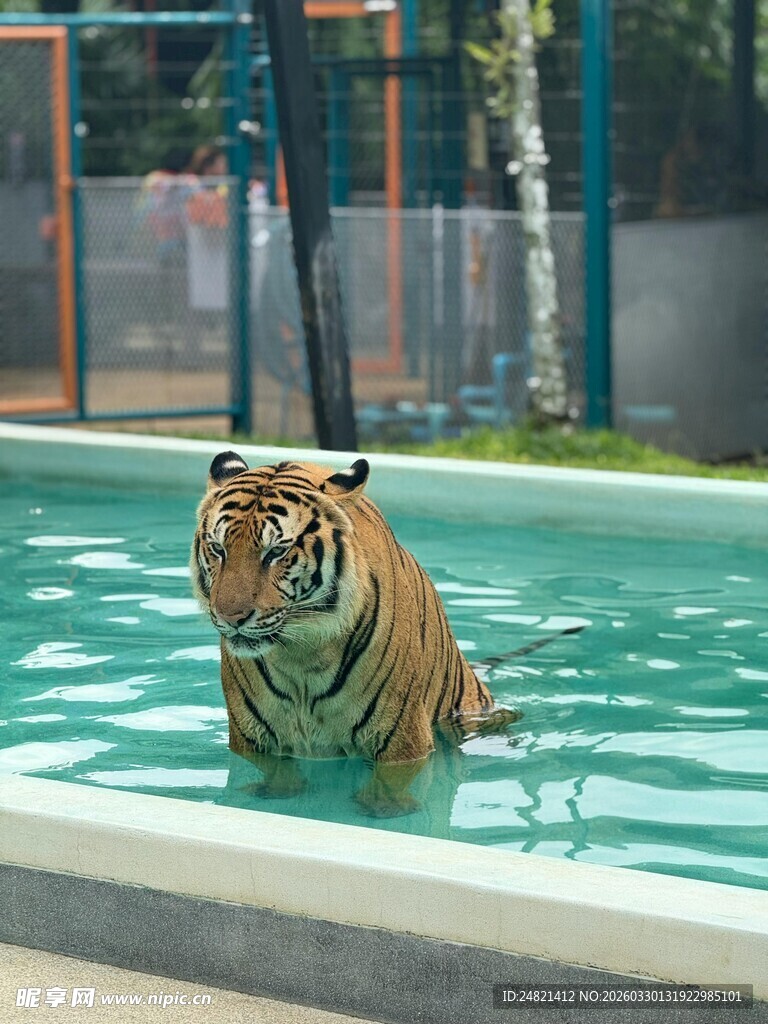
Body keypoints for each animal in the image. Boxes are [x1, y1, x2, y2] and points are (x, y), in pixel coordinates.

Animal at [191, 450, 520, 816]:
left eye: (276, 552)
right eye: (218, 549)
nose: (230, 617)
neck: (302, 654)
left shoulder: (401, 736)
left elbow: (392, 784)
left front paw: (383, 809)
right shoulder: (251, 736)